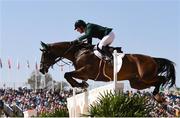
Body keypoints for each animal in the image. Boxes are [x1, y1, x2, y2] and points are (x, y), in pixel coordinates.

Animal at [39, 40, 176, 102]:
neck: (78, 52)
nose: (41, 69)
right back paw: (158, 96)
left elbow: (67, 74)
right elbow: (69, 75)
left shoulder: (86, 71)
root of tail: (153, 59)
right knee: (155, 82)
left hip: (146, 76)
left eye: (44, 54)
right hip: (137, 82)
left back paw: (158, 96)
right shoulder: (83, 73)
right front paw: (82, 84)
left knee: (162, 78)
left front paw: (79, 85)